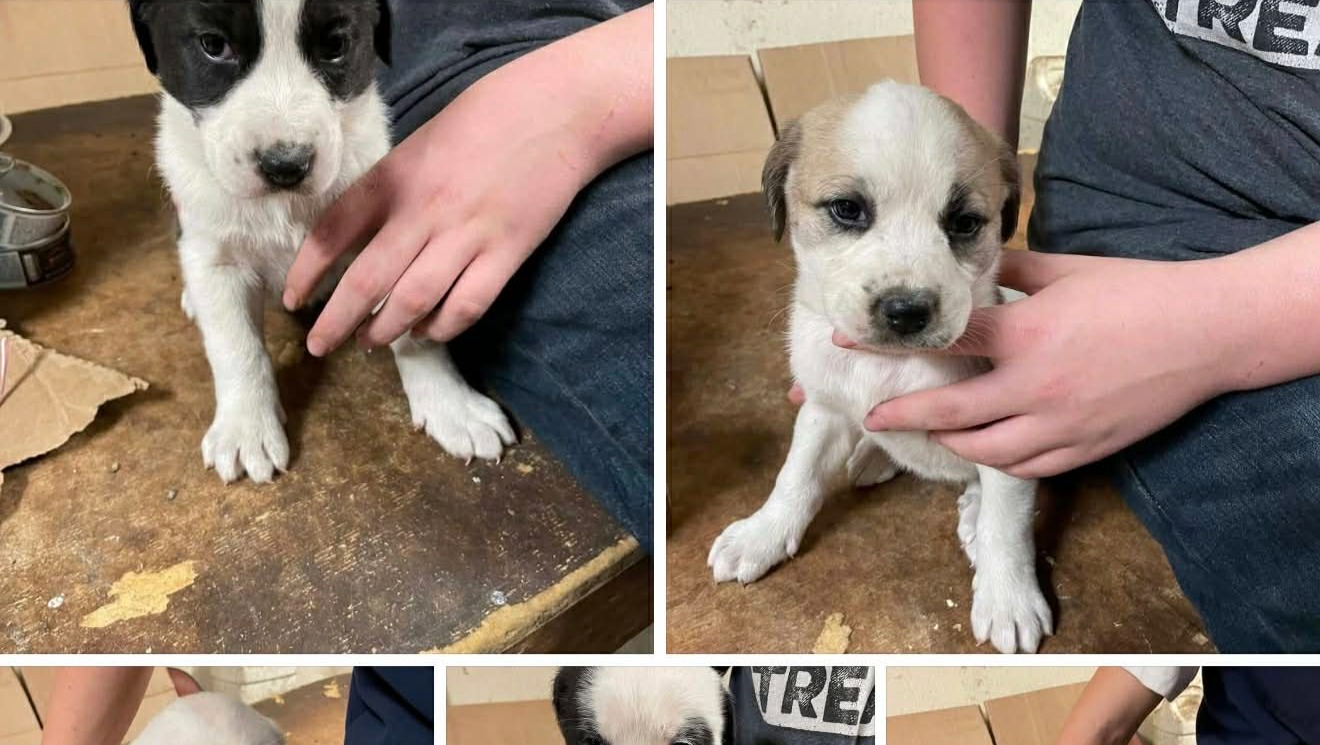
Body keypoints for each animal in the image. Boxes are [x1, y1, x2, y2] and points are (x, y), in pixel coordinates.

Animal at [127, 0, 514, 482]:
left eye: (335, 45)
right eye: (213, 45)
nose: (285, 166)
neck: (285, 205)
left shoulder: (384, 242)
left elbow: (413, 328)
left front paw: (452, 405)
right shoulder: (213, 255)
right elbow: (236, 347)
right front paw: (246, 428)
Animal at [707, 81, 1053, 654]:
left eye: (964, 223)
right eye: (847, 209)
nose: (907, 311)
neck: (890, 366)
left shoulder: (1010, 440)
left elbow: (1007, 527)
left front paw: (1008, 599)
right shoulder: (823, 408)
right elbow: (795, 475)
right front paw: (762, 534)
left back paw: (971, 511)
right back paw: (873, 455)